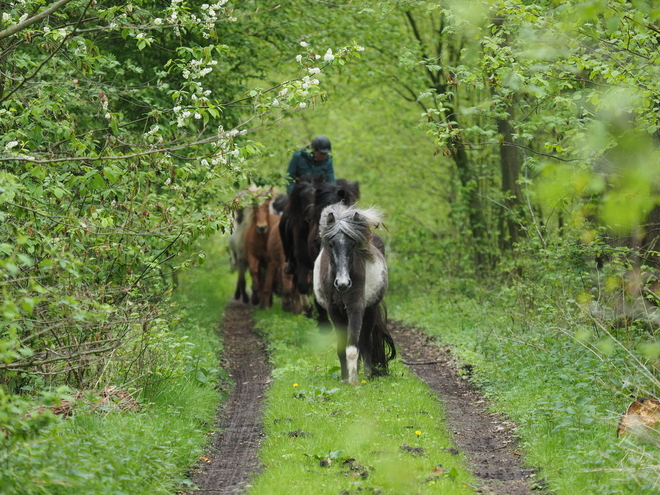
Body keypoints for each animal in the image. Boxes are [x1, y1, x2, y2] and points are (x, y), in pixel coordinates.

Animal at [312, 203, 394, 386]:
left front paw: (354, 381)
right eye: (331, 244)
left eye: (352, 244)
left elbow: (353, 348)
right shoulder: (334, 311)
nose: (343, 284)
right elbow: (342, 348)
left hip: (370, 310)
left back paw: (368, 374)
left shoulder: (356, 308)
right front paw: (344, 379)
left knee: (365, 343)